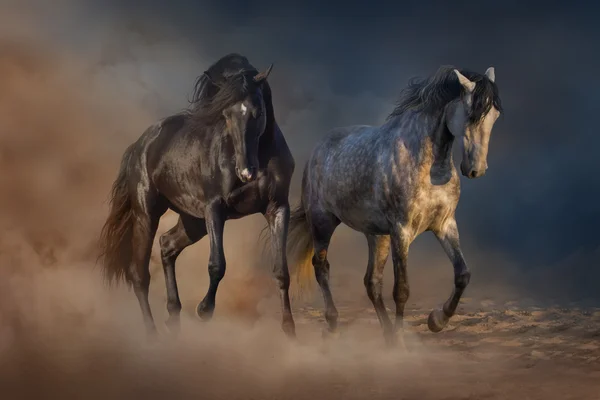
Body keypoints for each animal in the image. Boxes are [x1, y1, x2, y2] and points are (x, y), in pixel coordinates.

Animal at [98, 54, 298, 338]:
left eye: (258, 111)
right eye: (225, 115)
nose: (246, 172)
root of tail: (139, 145)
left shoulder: (277, 208)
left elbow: (281, 269)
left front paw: (290, 330)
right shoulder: (215, 208)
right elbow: (217, 264)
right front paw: (204, 310)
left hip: (192, 222)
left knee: (167, 245)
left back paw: (174, 318)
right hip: (147, 214)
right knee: (140, 274)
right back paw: (152, 335)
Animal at [286, 65, 502, 344]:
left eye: (494, 115)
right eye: (471, 114)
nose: (476, 169)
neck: (430, 166)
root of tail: (318, 149)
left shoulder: (444, 225)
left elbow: (462, 275)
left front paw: (436, 321)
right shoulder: (402, 231)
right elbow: (402, 289)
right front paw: (402, 341)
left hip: (377, 235)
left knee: (371, 282)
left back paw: (386, 333)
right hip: (323, 222)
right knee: (322, 268)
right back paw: (334, 326)